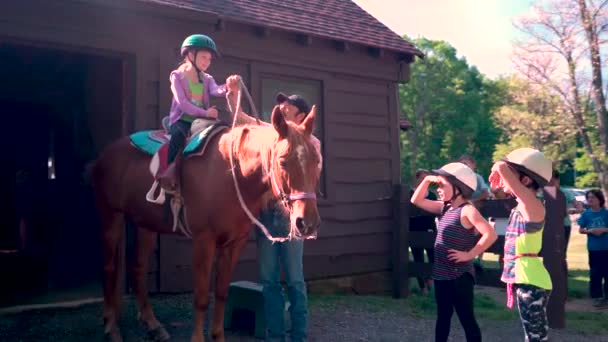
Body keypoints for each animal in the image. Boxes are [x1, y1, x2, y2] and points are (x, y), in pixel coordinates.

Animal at [91, 105, 324, 340]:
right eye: (283, 161)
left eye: (316, 160)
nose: (307, 223)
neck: (232, 175)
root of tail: (106, 154)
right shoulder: (204, 241)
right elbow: (202, 298)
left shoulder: (234, 244)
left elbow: (221, 293)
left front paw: (218, 336)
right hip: (111, 216)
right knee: (109, 268)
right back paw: (111, 327)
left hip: (145, 224)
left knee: (139, 267)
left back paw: (152, 324)